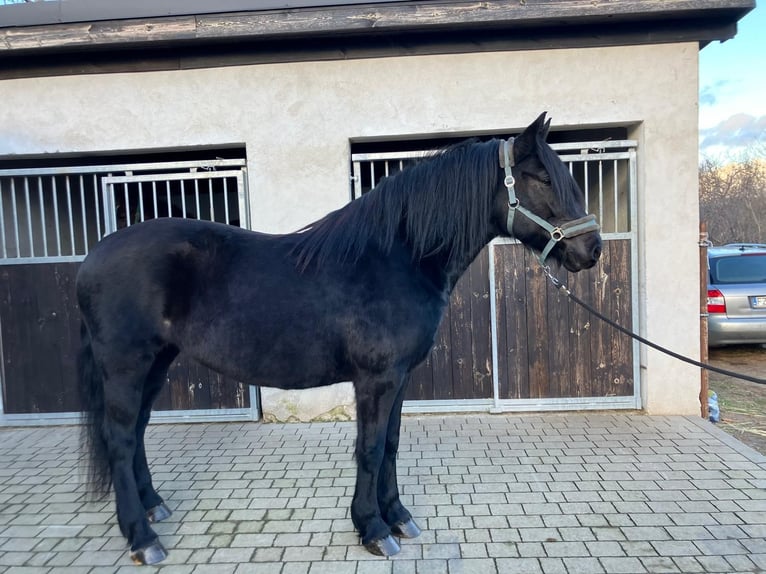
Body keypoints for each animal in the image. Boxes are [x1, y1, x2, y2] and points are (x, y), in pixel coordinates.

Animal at [79, 113, 608, 568]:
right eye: (542, 179)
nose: (592, 250)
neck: (397, 256)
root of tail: (93, 256)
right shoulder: (376, 379)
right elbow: (369, 448)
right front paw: (373, 529)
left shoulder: (399, 379)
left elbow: (391, 443)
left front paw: (399, 518)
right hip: (126, 365)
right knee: (120, 437)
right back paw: (143, 538)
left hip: (156, 363)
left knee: (137, 431)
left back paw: (153, 507)